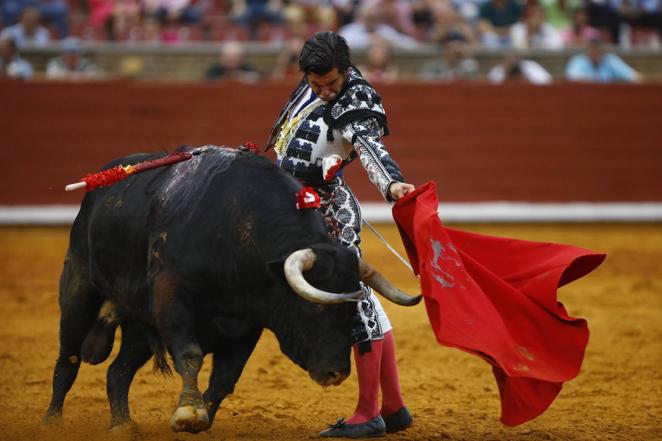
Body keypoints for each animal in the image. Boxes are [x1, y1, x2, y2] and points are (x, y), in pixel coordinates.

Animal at [44, 146, 420, 432]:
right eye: (315, 307)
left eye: (351, 309)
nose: (336, 373)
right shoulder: (172, 297)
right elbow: (191, 355)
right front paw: (188, 412)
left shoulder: (249, 322)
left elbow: (226, 377)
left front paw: (201, 418)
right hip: (78, 288)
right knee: (69, 359)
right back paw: (53, 422)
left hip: (139, 326)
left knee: (116, 372)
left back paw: (123, 426)